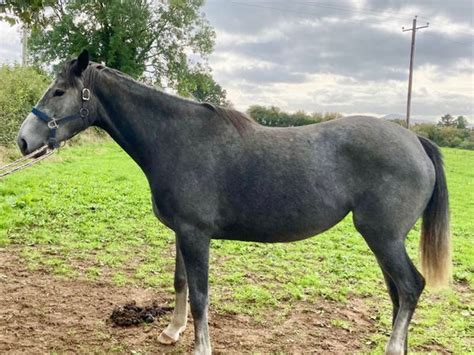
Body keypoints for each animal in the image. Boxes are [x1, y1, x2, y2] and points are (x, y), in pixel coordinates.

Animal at [16, 50, 450, 355]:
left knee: (411, 286)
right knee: (398, 293)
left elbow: (201, 296)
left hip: (382, 237)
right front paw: (171, 332)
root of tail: (416, 140)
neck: (176, 139)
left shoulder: (196, 236)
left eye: (58, 92)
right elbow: (180, 283)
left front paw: (200, 345)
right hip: (383, 241)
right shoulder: (183, 233)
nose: (22, 140)